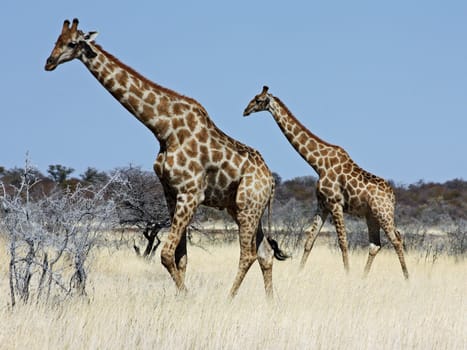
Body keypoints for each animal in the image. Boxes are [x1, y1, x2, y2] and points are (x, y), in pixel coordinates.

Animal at [44, 19, 288, 298]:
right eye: (56, 40)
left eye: (72, 43)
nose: (49, 62)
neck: (164, 129)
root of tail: (270, 180)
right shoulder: (171, 193)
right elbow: (180, 257)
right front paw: (181, 298)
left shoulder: (191, 194)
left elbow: (166, 254)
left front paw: (187, 297)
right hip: (240, 207)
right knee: (265, 252)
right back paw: (270, 301)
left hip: (248, 206)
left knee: (248, 254)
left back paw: (229, 299)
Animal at [245, 86, 410, 280]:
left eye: (258, 100)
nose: (245, 111)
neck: (318, 164)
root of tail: (393, 196)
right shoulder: (322, 205)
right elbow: (309, 241)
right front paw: (299, 273)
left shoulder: (335, 203)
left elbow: (343, 242)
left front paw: (347, 274)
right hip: (371, 216)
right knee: (375, 244)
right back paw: (364, 277)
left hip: (383, 213)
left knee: (396, 239)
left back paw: (407, 278)